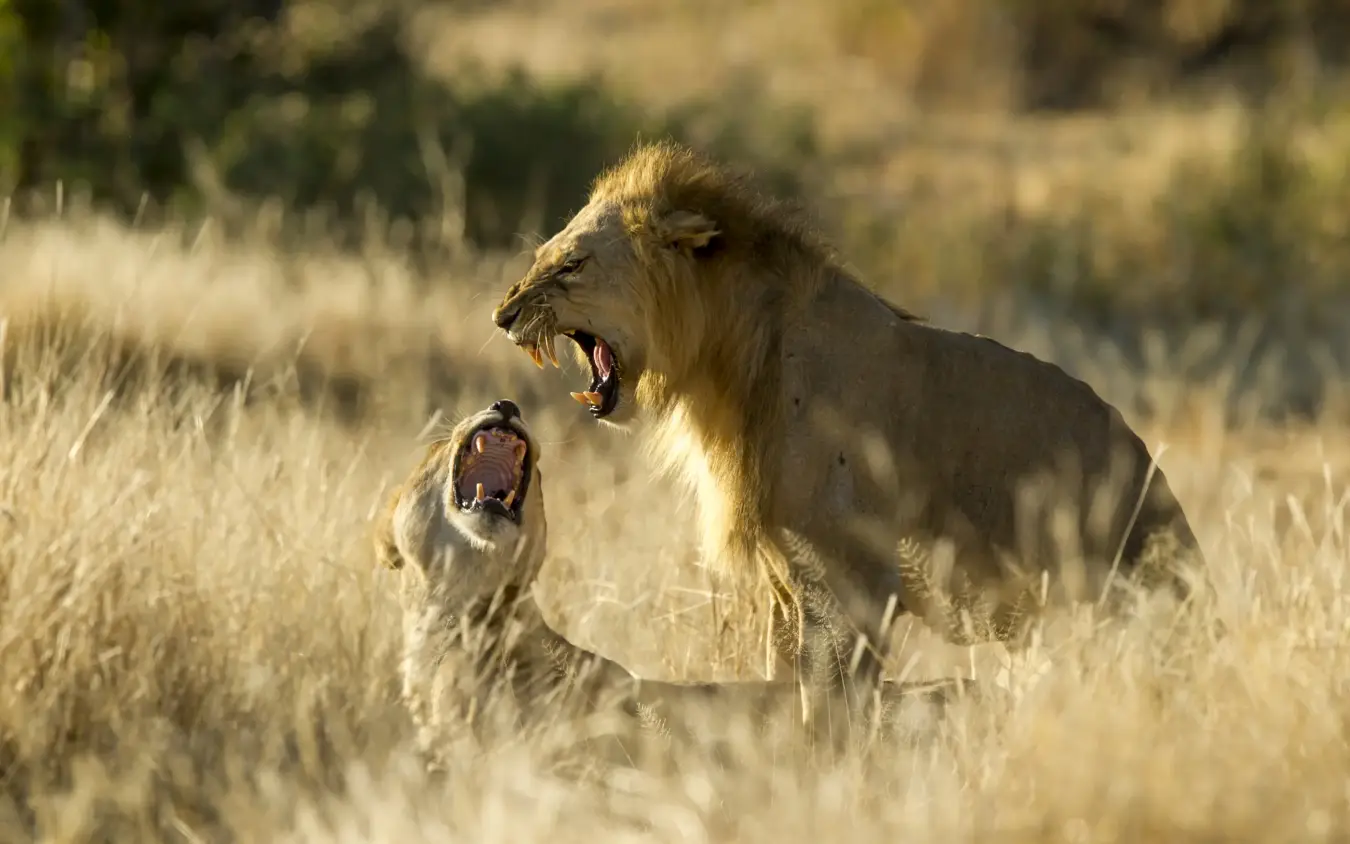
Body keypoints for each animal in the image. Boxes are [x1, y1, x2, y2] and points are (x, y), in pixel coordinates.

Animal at [489, 140, 1209, 727]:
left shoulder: (846, 582)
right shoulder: (787, 585)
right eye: (542, 256)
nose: (503, 315)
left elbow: (830, 708)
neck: (726, 366)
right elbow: (786, 688)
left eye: (573, 265)